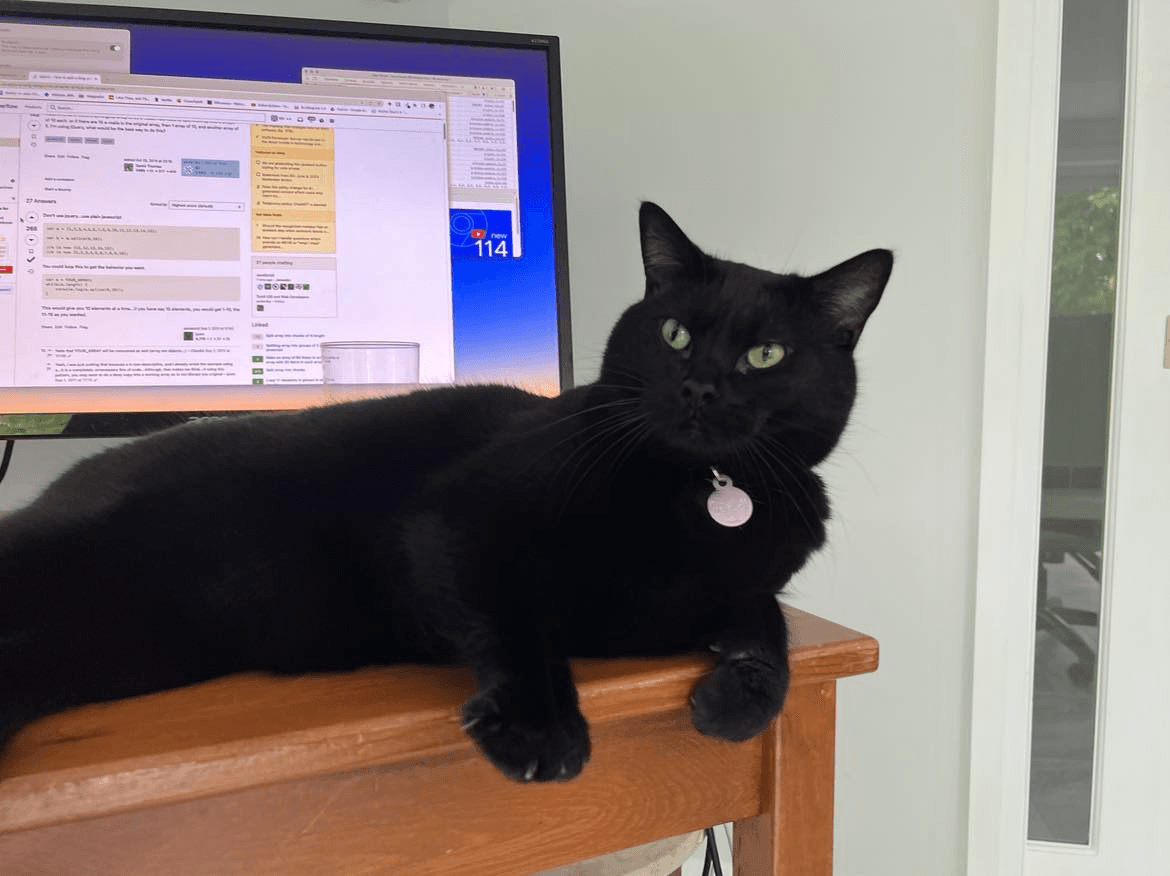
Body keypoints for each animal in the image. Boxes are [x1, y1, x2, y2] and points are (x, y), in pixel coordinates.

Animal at [0, 203, 884, 781]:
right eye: (676, 336)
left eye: (766, 355)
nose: (700, 387)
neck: (700, 492)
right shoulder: (460, 517)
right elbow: (516, 618)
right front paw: (538, 730)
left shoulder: (725, 584)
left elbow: (768, 619)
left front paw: (742, 695)